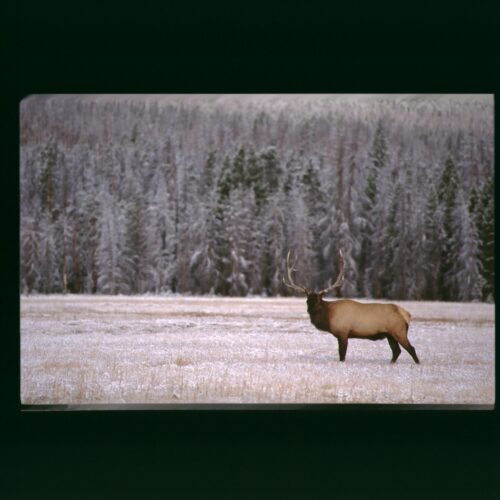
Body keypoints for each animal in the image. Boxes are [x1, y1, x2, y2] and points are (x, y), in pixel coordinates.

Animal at [284, 250, 420, 364]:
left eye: (318, 300)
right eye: (307, 301)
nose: (310, 310)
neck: (328, 317)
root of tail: (406, 314)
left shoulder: (343, 332)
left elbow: (342, 354)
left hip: (398, 330)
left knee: (411, 348)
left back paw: (417, 364)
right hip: (389, 334)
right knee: (396, 351)